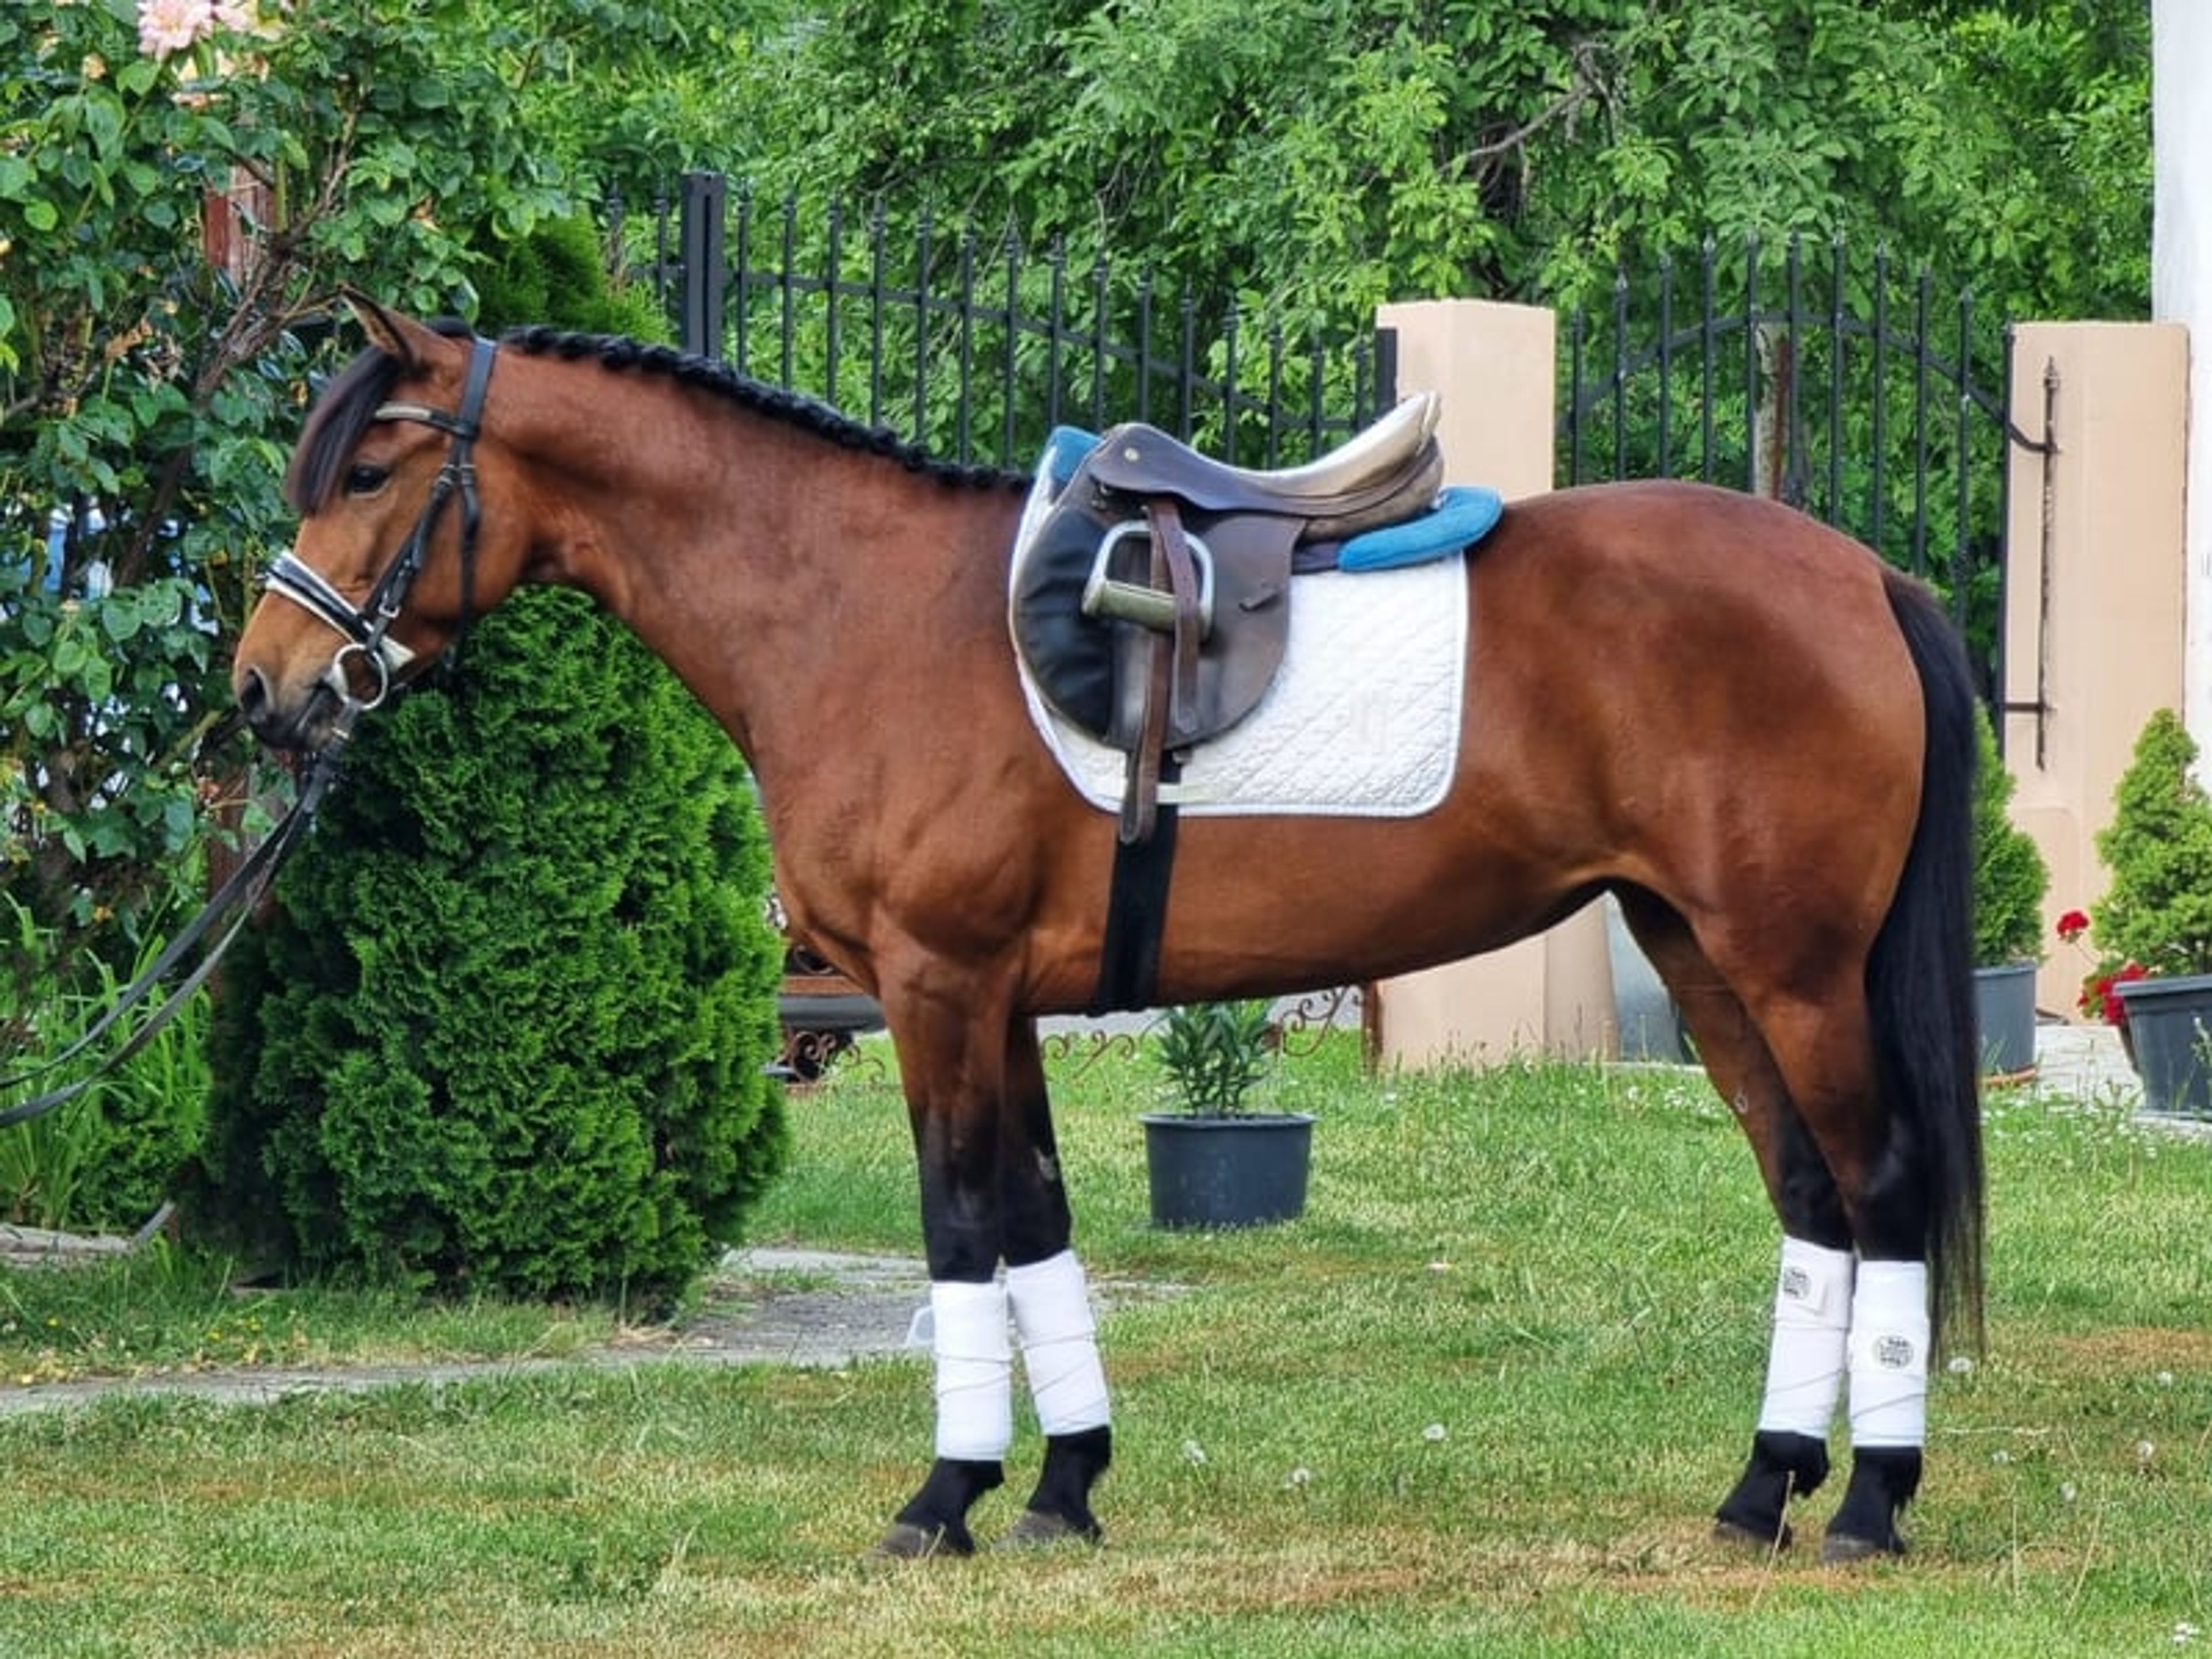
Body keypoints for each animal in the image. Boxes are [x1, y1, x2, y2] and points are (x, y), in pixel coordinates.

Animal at [232, 294, 1983, 1565]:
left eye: (369, 475)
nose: (264, 686)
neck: (857, 608)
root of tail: (1863, 575)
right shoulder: (997, 1000)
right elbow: (1035, 1220)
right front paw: (1063, 1487)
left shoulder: (937, 987)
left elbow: (959, 1226)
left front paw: (944, 1500)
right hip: (1698, 954)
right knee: (1811, 1197)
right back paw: (1761, 1491)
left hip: (1790, 967)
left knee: (1882, 1183)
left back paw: (1867, 1504)